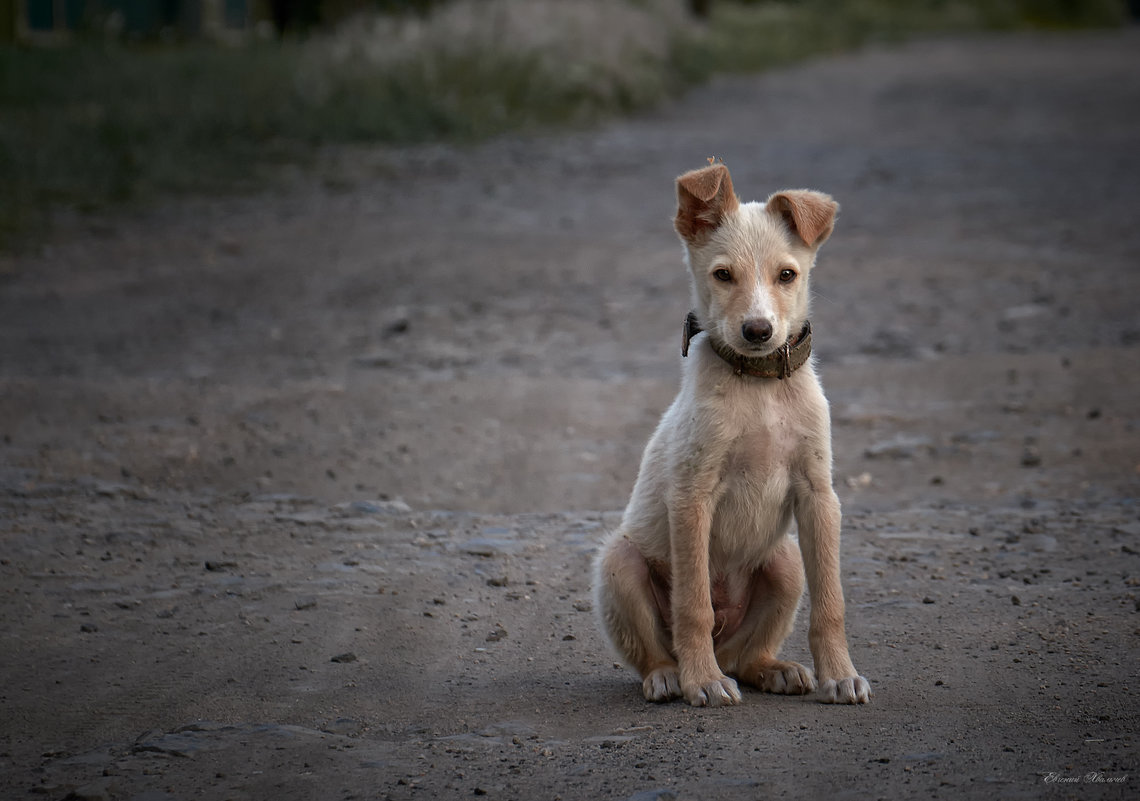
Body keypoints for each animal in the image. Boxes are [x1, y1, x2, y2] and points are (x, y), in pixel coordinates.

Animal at [597, 162, 870, 706]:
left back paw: (773, 669)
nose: (758, 331)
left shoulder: (819, 496)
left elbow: (831, 603)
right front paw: (701, 682)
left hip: (785, 562)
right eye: (723, 275)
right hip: (619, 562)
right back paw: (675, 675)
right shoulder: (691, 496)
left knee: (745, 657)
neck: (759, 387)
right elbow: (693, 604)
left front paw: (840, 675)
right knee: (661, 649)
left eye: (787, 275)